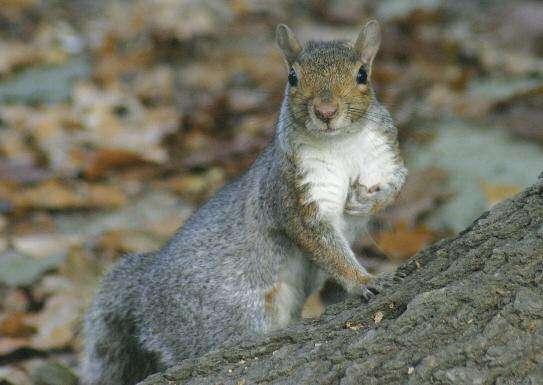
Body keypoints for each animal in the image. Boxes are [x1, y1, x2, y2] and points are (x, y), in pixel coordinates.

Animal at [82, 20, 408, 384]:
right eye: (292, 77)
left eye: (362, 74)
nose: (326, 112)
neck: (341, 144)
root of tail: (144, 292)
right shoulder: (292, 191)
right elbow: (321, 244)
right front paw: (365, 281)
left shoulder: (384, 158)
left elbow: (396, 184)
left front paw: (365, 201)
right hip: (230, 316)